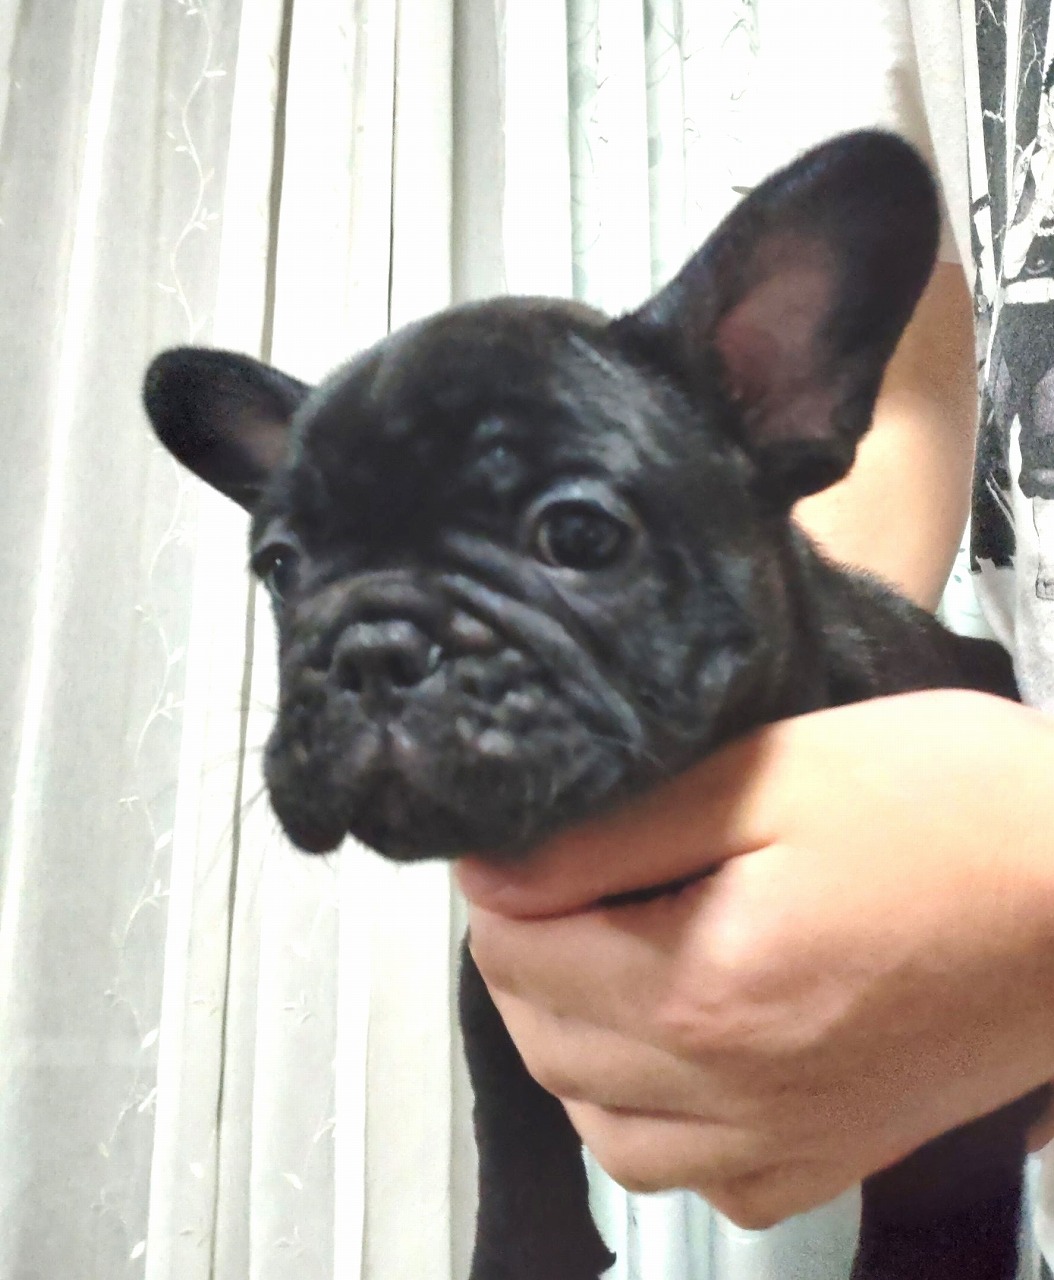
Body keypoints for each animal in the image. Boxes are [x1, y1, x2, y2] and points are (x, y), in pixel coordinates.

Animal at [143, 132, 1048, 1280]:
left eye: (575, 535)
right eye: (279, 567)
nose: (371, 648)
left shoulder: (950, 1089)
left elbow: (934, 1209)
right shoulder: (495, 977)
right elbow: (506, 1108)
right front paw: (524, 1244)